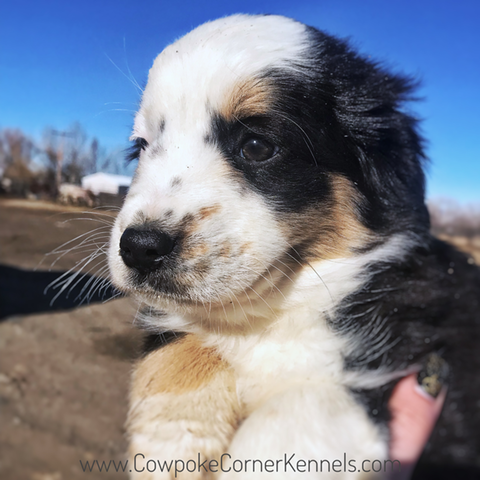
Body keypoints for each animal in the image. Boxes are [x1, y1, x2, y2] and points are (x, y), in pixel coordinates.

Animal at [108, 13, 480, 478]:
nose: (139, 247)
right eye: (140, 148)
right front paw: (171, 442)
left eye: (256, 146)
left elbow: (287, 417)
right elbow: (181, 344)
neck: (275, 315)